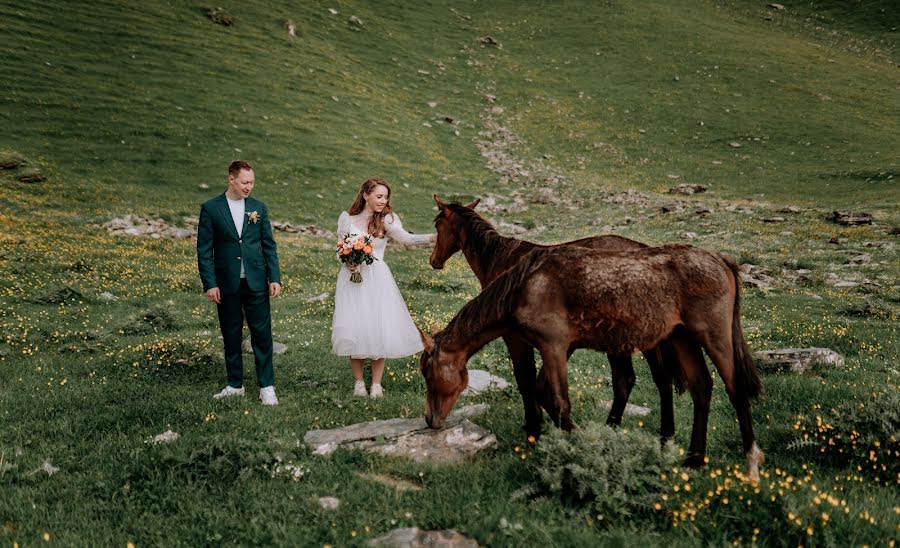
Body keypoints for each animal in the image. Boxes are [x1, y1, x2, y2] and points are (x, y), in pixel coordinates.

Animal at [418, 244, 764, 480]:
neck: (525, 286)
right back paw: (694, 458)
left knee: (735, 390)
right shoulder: (557, 350)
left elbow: (559, 402)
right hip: (682, 339)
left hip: (714, 337)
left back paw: (751, 462)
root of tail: (721, 260)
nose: (430, 420)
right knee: (702, 388)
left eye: (428, 375)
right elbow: (545, 395)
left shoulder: (554, 346)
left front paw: (580, 447)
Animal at [428, 197, 684, 446]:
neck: (502, 260)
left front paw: (534, 428)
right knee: (648, 381)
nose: (434, 261)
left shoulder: (514, 338)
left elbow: (526, 380)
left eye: (437, 225)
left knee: (638, 381)